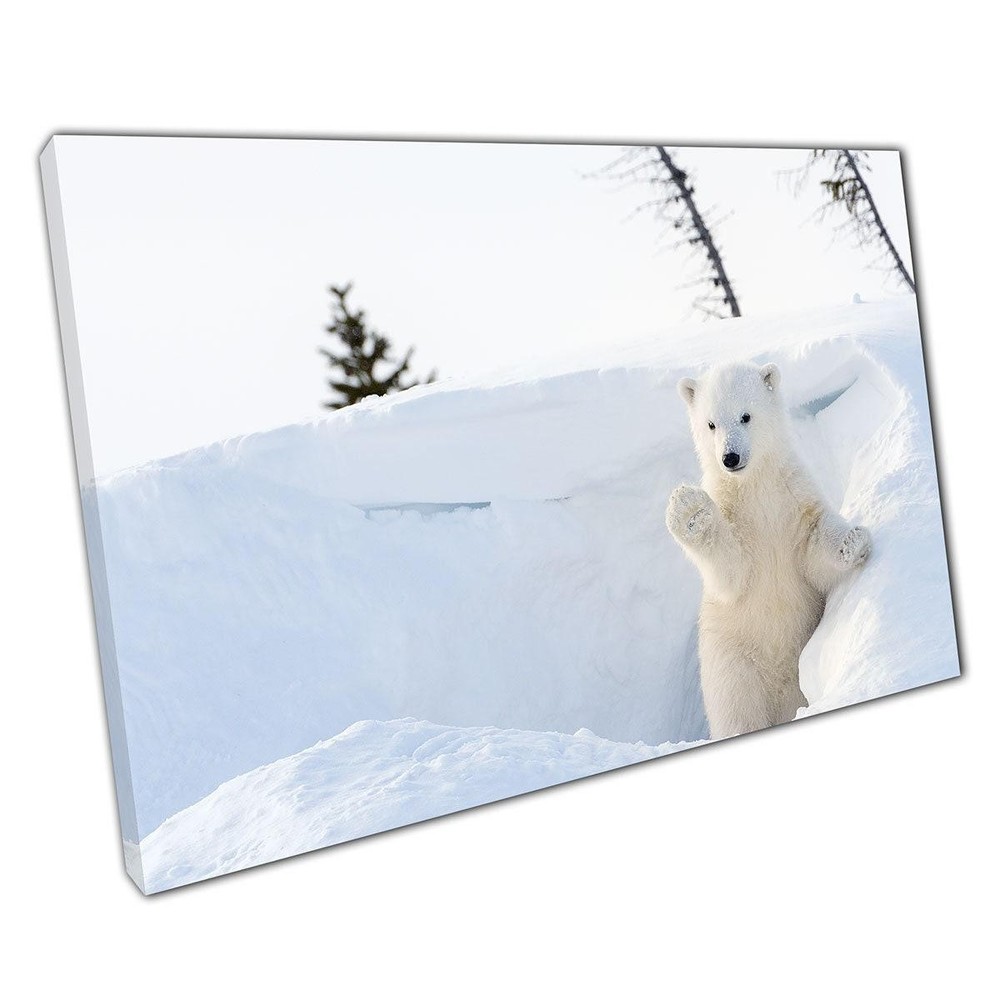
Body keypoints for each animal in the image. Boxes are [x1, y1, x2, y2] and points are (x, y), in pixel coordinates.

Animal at [666, 361, 871, 740]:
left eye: (745, 416)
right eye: (711, 424)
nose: (729, 458)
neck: (756, 489)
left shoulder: (793, 500)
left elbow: (813, 547)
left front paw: (852, 541)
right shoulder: (736, 520)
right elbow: (731, 572)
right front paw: (689, 510)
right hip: (733, 667)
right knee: (738, 714)